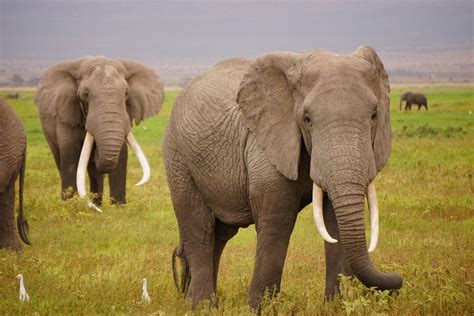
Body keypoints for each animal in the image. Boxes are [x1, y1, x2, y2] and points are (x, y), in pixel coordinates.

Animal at [35, 56, 165, 210]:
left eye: (126, 93)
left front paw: (118, 208)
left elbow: (121, 155)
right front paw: (71, 206)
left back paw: (97, 204)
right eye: (85, 94)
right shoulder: (66, 112)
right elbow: (70, 155)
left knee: (94, 172)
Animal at [164, 45, 404, 310]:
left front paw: (333, 308)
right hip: (179, 160)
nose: (397, 282)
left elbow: (334, 223)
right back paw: (203, 307)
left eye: (374, 115)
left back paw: (198, 303)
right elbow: (277, 222)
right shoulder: (266, 143)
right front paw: (259, 309)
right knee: (200, 231)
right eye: (307, 119)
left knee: (221, 234)